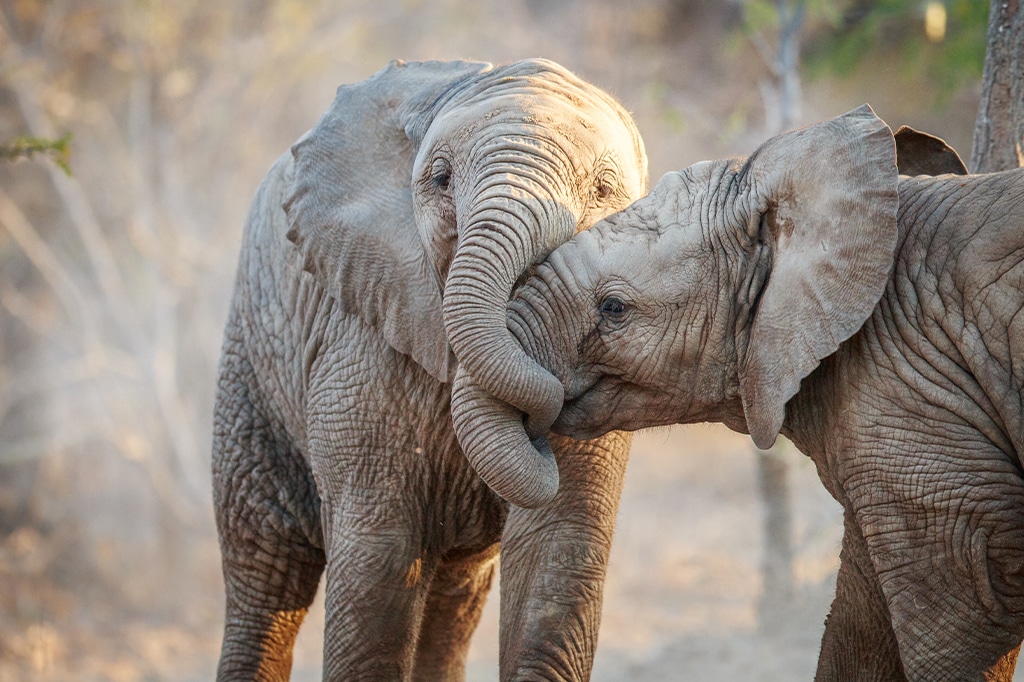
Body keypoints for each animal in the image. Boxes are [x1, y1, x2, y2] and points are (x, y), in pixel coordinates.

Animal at [211, 58, 647, 681]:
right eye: (440, 179)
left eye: (604, 190)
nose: (539, 420)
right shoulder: (360, 338)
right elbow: (380, 558)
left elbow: (557, 546)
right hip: (250, 360)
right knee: (265, 566)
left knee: (453, 594)